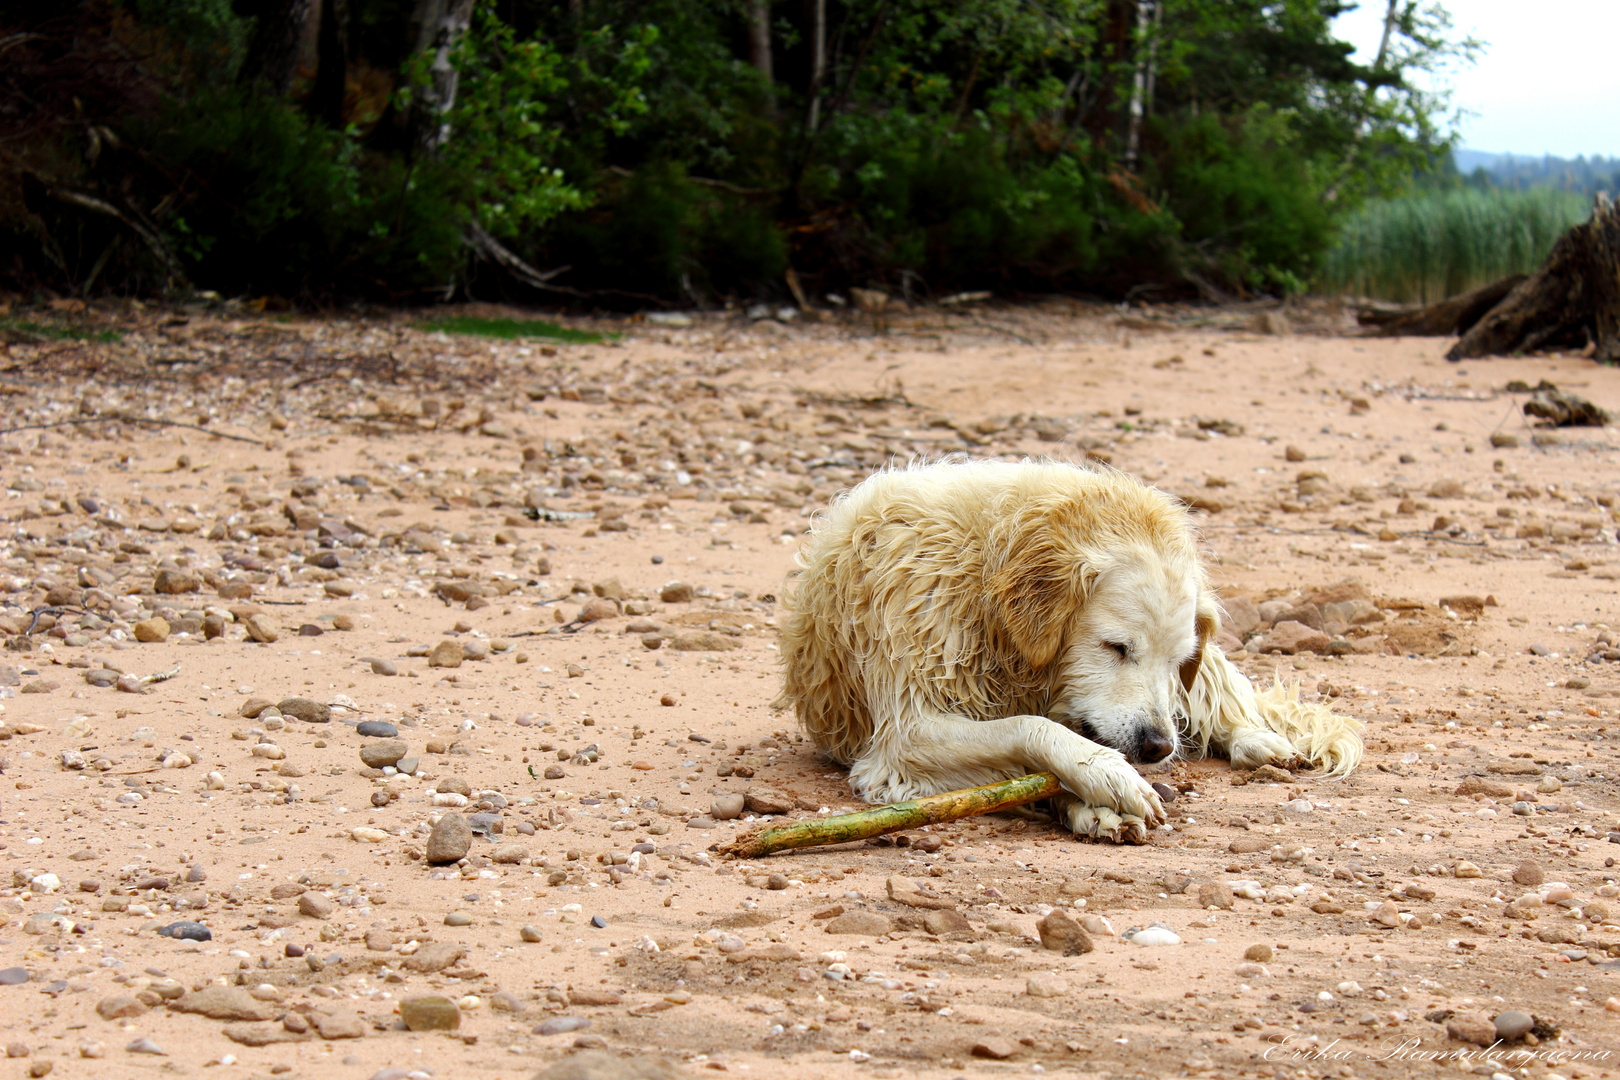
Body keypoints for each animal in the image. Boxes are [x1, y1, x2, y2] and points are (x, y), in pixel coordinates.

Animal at [777, 456, 1360, 841]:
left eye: (1175, 664)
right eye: (1116, 647)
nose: (1157, 748)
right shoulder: (905, 734)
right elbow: (1028, 728)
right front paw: (1103, 783)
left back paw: (1258, 740)